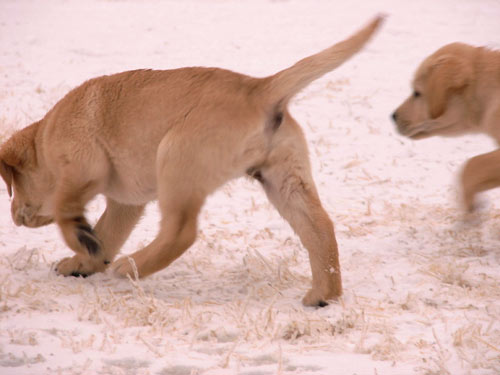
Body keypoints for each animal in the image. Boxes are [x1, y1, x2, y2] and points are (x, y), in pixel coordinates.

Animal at [0, 16, 382, 306]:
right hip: (284, 179)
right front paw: (82, 261)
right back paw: (323, 296)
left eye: (13, 184)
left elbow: (67, 209)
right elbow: (107, 233)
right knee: (320, 228)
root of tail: (258, 88)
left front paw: (81, 240)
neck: (45, 138)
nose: (14, 216)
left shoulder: (82, 170)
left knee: (181, 231)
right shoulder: (126, 203)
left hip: (176, 159)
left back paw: (131, 267)